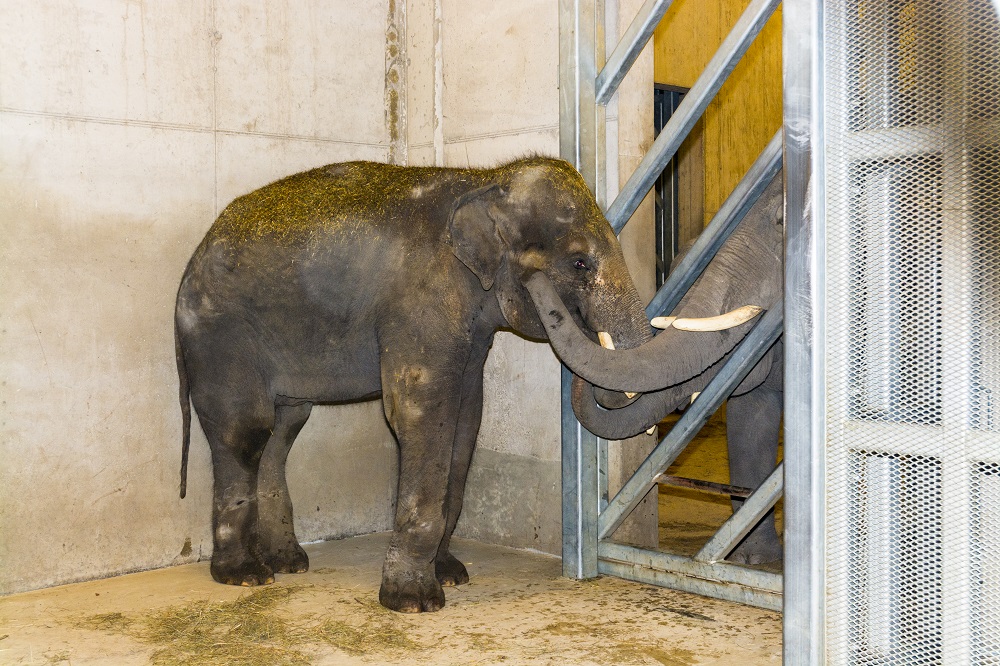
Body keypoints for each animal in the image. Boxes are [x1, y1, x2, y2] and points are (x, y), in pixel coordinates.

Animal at [176, 157, 652, 612]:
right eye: (579, 263)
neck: (485, 181)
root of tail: (192, 262)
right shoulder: (419, 307)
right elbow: (421, 414)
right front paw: (414, 601)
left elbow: (466, 420)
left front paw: (452, 575)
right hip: (221, 335)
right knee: (245, 430)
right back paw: (246, 576)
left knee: (284, 428)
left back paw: (287, 564)